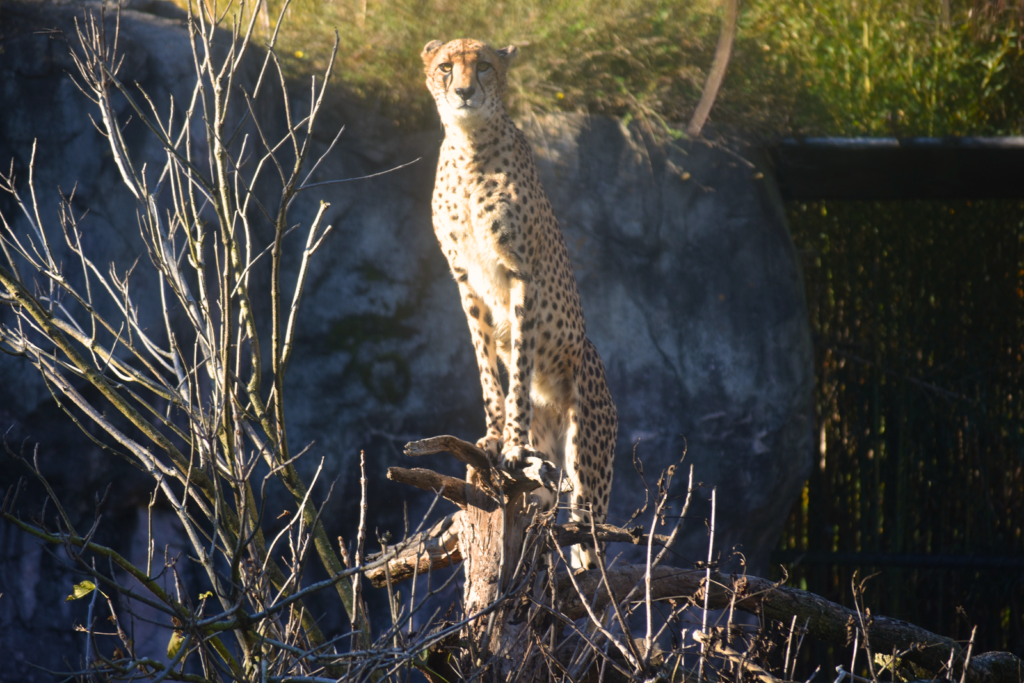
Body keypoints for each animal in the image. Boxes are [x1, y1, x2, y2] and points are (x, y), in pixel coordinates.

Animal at [421, 38, 617, 569]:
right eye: (445, 67)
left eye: (484, 66)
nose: (464, 91)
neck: (469, 149)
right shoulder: (465, 279)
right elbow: (489, 368)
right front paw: (491, 437)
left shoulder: (520, 274)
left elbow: (520, 370)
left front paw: (511, 442)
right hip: (550, 485)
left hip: (588, 463)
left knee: (590, 549)